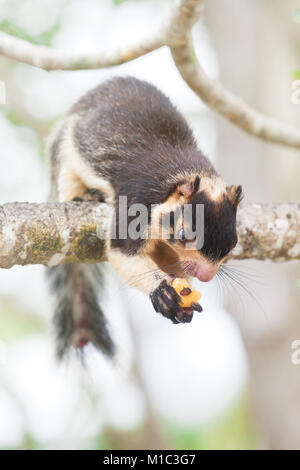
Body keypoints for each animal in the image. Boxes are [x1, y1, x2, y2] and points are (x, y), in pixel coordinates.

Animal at [47, 76, 244, 360]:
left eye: (233, 244)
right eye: (183, 235)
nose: (206, 275)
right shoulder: (136, 205)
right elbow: (122, 250)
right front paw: (161, 292)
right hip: (65, 149)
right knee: (67, 178)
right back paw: (84, 196)